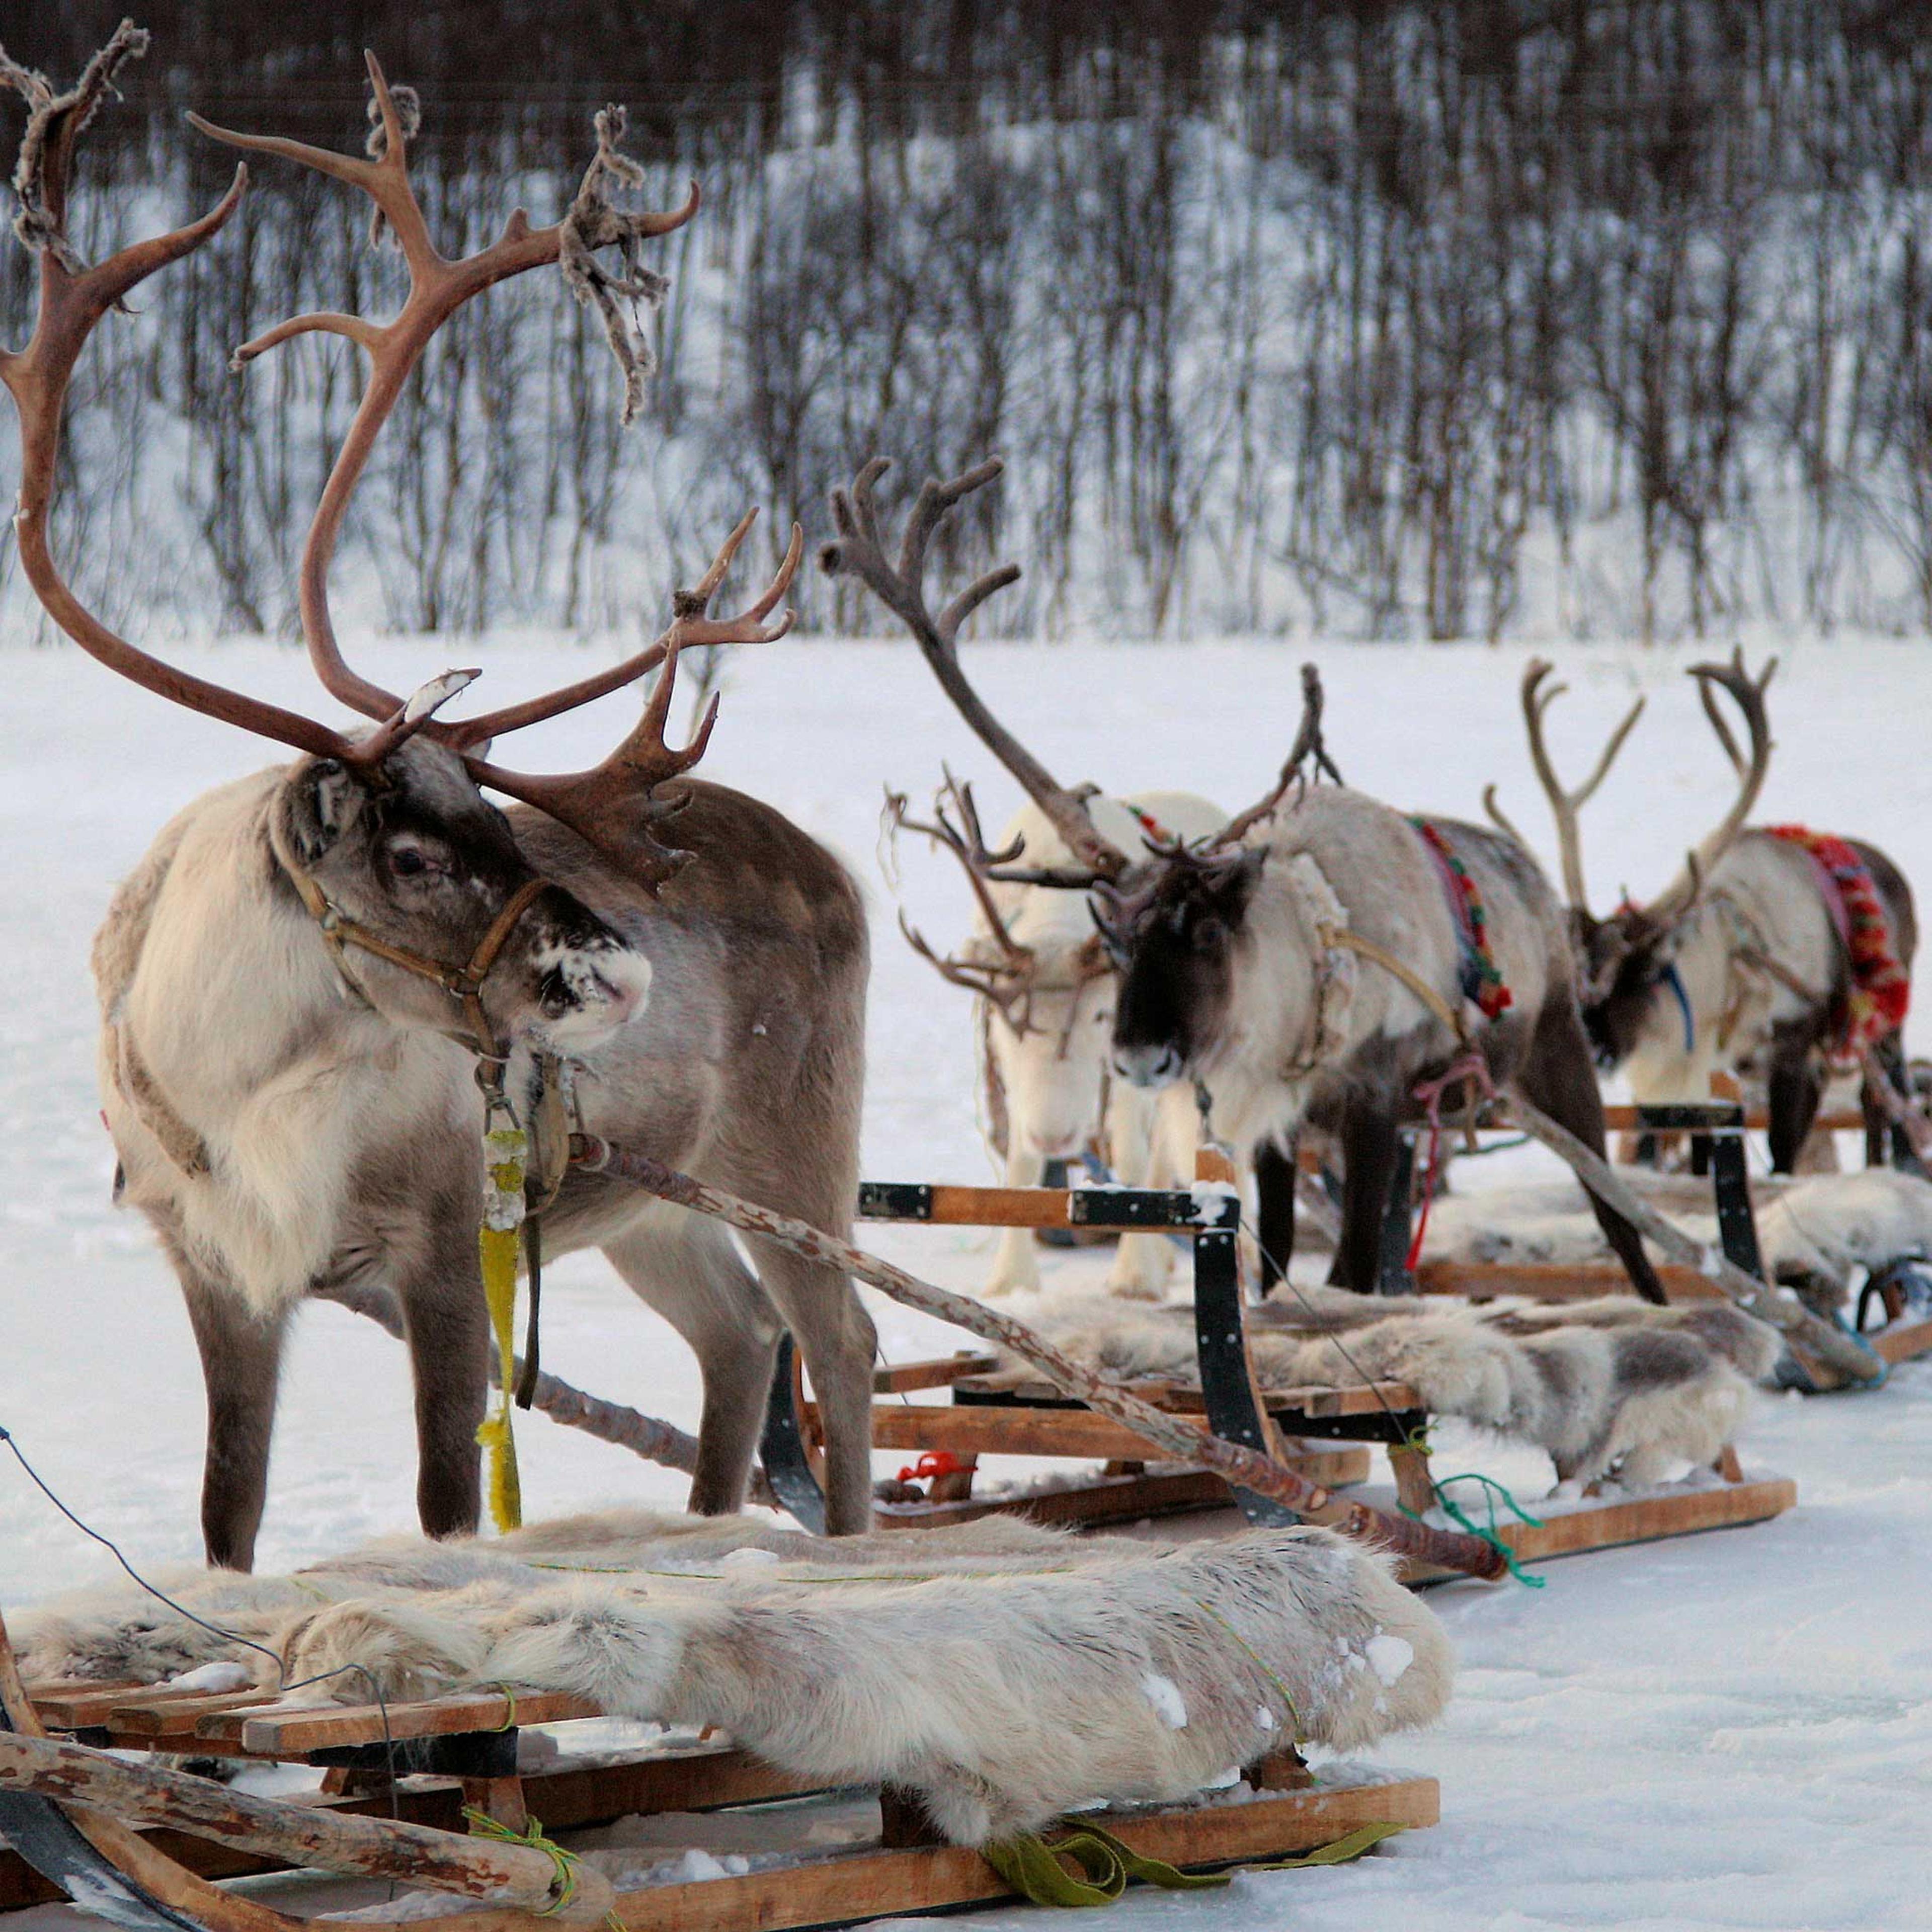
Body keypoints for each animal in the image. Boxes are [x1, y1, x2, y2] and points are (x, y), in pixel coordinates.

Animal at [5, 26, 878, 1567]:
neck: (239, 1077)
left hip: (795, 1159)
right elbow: (227, 1513)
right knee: (737, 1341)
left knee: (842, 1342)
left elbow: (443, 1505)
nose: (619, 973)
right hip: (650, 1206)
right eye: (410, 853)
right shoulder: (211, 1262)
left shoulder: (443, 1252)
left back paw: (843, 1543)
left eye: (486, 808)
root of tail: (835, 868)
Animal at [888, 776, 1226, 1298]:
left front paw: (1134, 1275)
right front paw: (1010, 1279)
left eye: (1102, 1016)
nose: (1056, 1136)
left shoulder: (1136, 1061)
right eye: (1005, 1021)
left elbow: (1133, 1160)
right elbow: (1019, 1165)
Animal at [1491, 654, 1917, 1174]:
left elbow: (1782, 1152)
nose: (1593, 1048)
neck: (1731, 968)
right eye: (1572, 974)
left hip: (1886, 1020)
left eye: (1647, 972)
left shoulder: (1795, 1049)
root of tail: (1890, 868)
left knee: (1884, 1097)